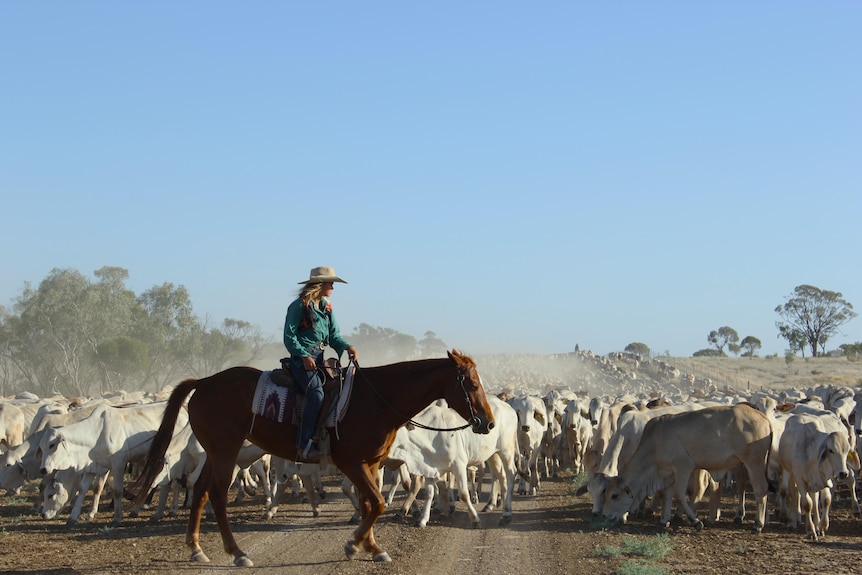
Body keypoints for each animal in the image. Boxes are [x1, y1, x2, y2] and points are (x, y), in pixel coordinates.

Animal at [132, 348, 496, 568]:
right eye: (471, 383)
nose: (488, 422)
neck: (376, 400)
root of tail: (204, 382)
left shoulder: (371, 463)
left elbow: (371, 503)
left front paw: (371, 548)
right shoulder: (352, 462)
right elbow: (377, 503)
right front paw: (354, 545)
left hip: (215, 452)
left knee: (200, 490)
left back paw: (196, 549)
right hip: (225, 451)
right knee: (217, 494)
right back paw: (237, 553)